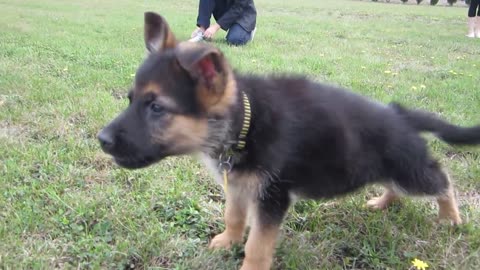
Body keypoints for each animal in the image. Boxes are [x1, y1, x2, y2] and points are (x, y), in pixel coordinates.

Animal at [98, 12, 480, 268]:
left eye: (157, 108)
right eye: (131, 100)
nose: (101, 140)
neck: (245, 123)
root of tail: (401, 114)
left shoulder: (272, 197)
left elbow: (257, 245)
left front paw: (248, 265)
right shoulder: (239, 185)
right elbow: (233, 216)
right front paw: (226, 241)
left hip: (408, 169)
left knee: (442, 180)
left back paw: (450, 217)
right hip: (388, 170)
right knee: (399, 188)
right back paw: (383, 202)